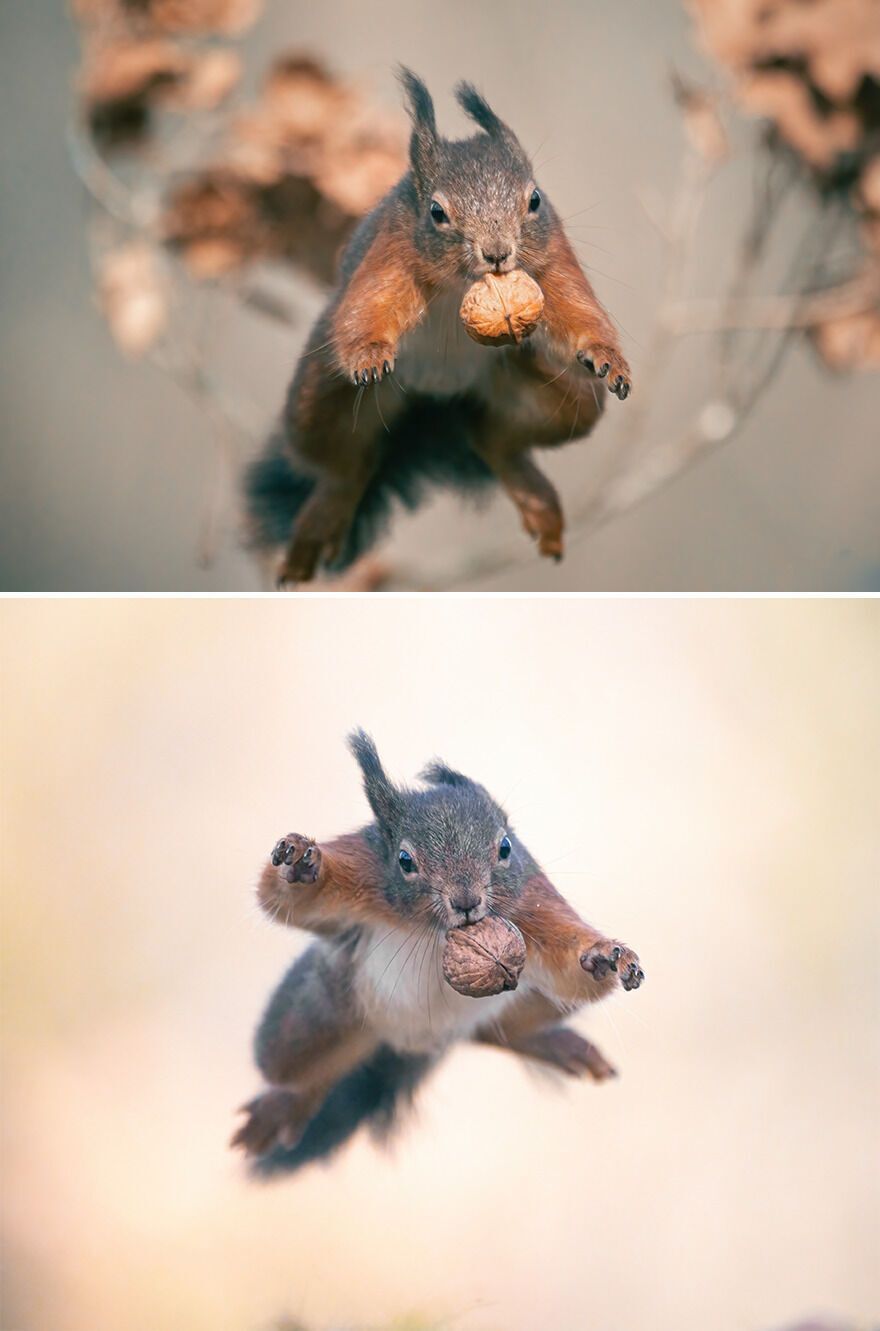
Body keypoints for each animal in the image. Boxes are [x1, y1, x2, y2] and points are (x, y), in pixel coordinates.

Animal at [232, 729, 644, 1176]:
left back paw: (550, 1043)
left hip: (532, 1003)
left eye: (505, 847)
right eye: (404, 859)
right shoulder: (361, 872)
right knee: (297, 1072)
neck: (442, 931)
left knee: (499, 1033)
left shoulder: (532, 905)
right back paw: (284, 1106)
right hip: (313, 1016)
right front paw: (303, 864)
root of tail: (405, 1043)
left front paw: (603, 957)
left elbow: (571, 969)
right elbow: (282, 900)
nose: (466, 901)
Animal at [244, 70, 631, 585]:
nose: (497, 253)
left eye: (534, 199)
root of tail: (435, 400)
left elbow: (577, 309)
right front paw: (369, 353)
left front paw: (607, 358)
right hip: (317, 404)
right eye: (436, 212)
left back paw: (537, 501)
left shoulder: (551, 262)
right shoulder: (389, 257)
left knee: (495, 440)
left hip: (555, 401)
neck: (462, 283)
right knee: (345, 467)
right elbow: (368, 309)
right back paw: (315, 529)